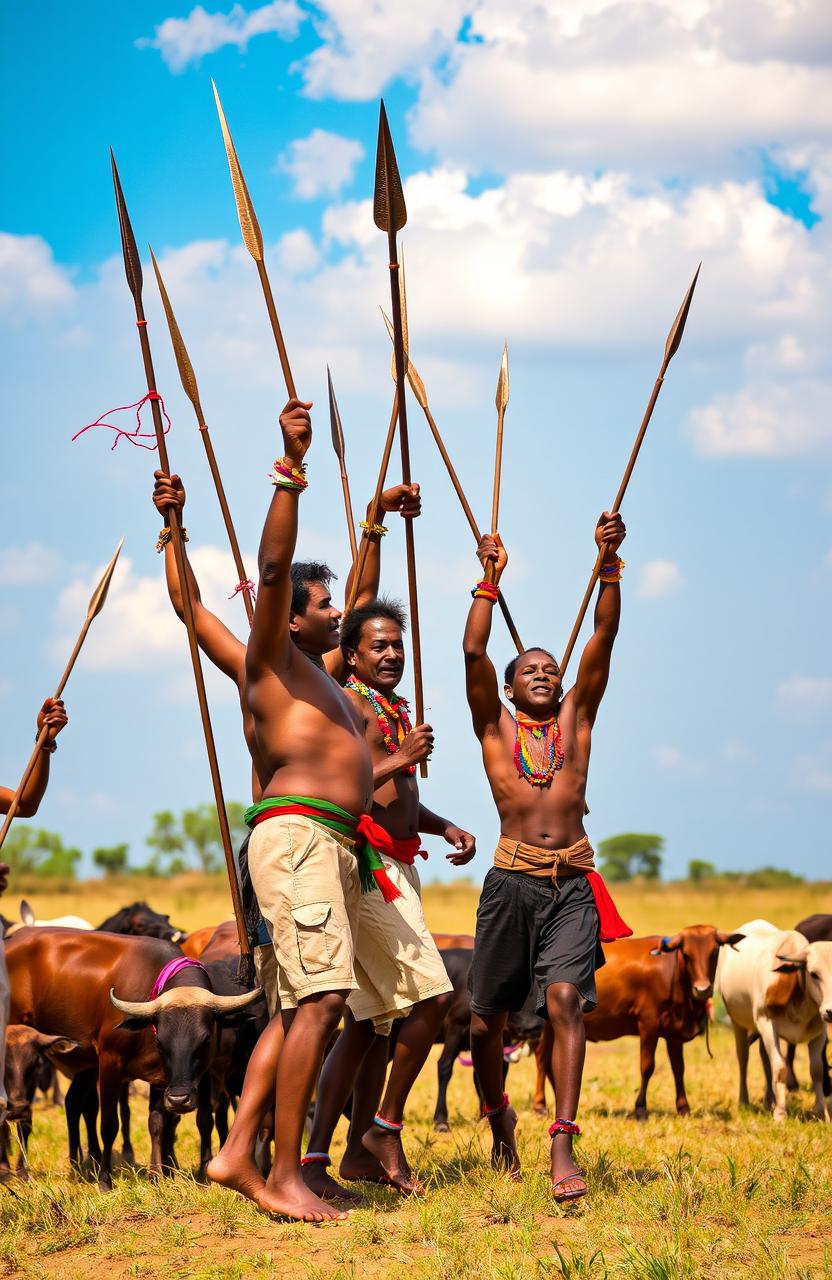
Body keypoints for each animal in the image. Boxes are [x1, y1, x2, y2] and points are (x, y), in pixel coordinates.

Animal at [5, 926, 258, 1182]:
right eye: (160, 1040)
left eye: (205, 1038)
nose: (179, 1099)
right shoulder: (110, 1062)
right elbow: (109, 1124)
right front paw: (105, 1180)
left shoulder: (182, 1076)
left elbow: (163, 1122)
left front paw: (160, 1176)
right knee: (23, 1113)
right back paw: (19, 1170)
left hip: (87, 1066)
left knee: (73, 1102)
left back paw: (78, 1167)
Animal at [532, 921, 747, 1121]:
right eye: (686, 954)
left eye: (714, 952)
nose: (702, 989)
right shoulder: (649, 1023)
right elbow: (647, 1066)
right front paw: (641, 1108)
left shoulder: (674, 1031)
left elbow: (679, 1068)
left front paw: (683, 1107)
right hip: (546, 1025)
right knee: (542, 1058)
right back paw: (540, 1105)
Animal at [711, 921, 829, 1121]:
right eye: (814, 974)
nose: (830, 1010)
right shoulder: (767, 1023)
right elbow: (780, 1068)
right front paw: (780, 1113)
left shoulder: (820, 1031)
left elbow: (817, 1070)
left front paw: (821, 1112)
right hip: (738, 1023)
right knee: (743, 1057)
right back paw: (744, 1101)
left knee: (764, 1057)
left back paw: (769, 1100)